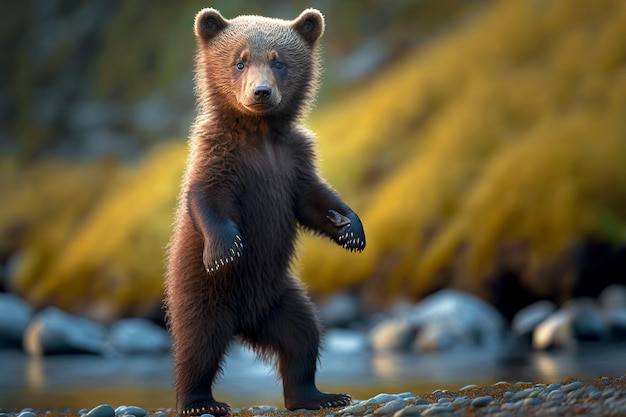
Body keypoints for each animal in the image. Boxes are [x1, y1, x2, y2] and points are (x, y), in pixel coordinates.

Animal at [166, 6, 366, 416]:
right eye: (239, 61)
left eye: (280, 62)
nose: (261, 92)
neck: (259, 133)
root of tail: (244, 323)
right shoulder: (219, 153)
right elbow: (206, 196)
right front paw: (225, 249)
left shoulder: (292, 160)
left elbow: (314, 199)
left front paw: (350, 227)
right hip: (202, 292)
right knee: (198, 344)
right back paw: (199, 401)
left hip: (279, 296)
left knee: (303, 336)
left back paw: (317, 395)